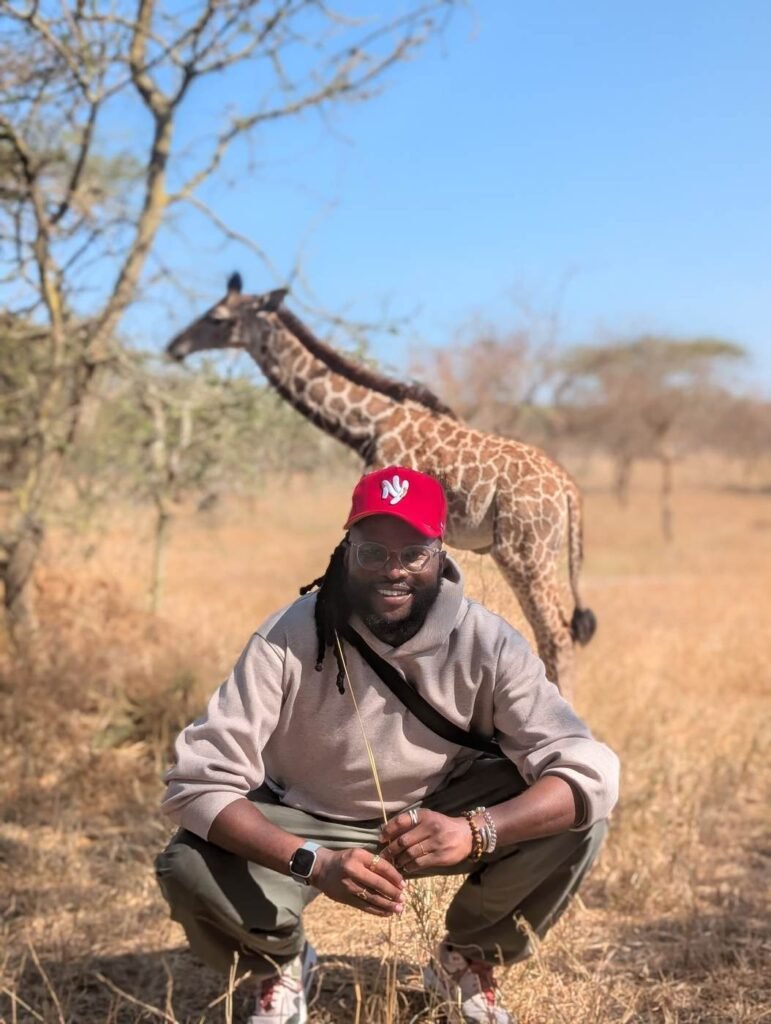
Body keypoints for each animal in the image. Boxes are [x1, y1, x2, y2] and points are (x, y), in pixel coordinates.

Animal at [167, 275, 596, 700]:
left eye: (217, 318)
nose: (175, 347)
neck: (369, 424)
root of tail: (567, 487)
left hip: (524, 552)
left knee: (556, 634)